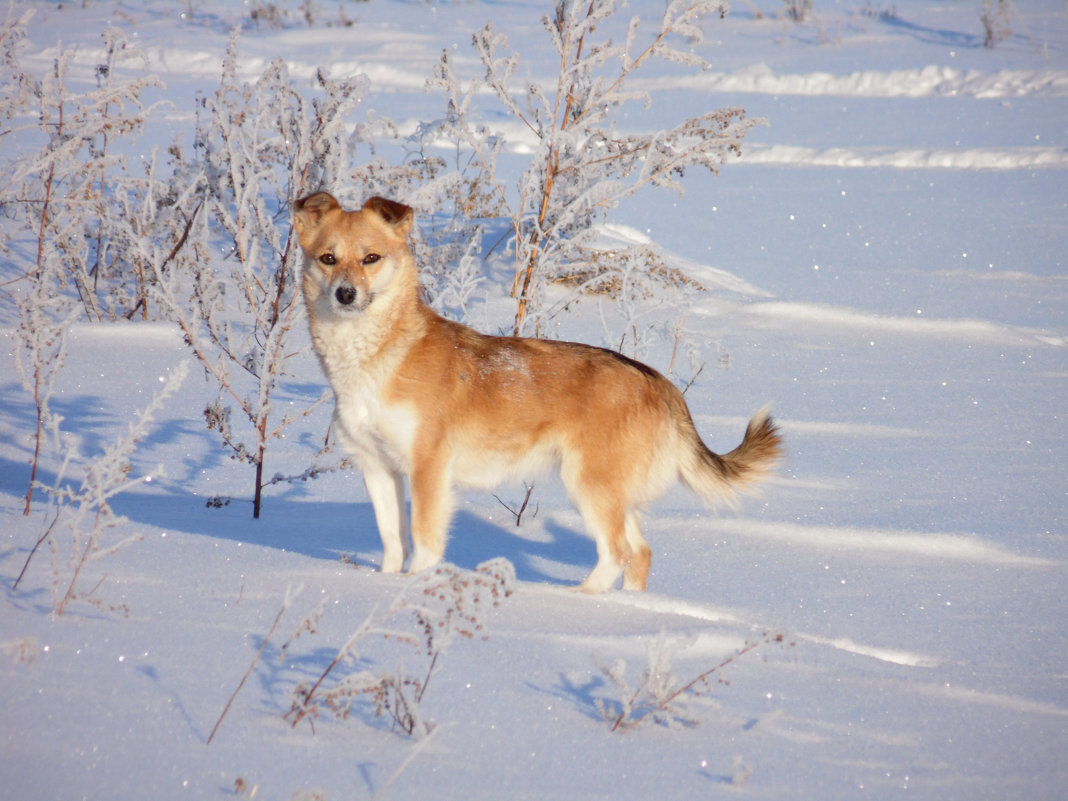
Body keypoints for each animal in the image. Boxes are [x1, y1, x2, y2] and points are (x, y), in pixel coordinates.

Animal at [294, 193, 786, 593]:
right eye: (328, 258)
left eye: (371, 257)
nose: (345, 294)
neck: (379, 357)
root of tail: (657, 381)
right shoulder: (378, 468)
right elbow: (393, 541)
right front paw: (386, 587)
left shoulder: (428, 467)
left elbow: (424, 543)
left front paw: (414, 589)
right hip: (613, 490)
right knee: (640, 554)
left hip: (588, 484)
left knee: (617, 552)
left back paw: (575, 600)